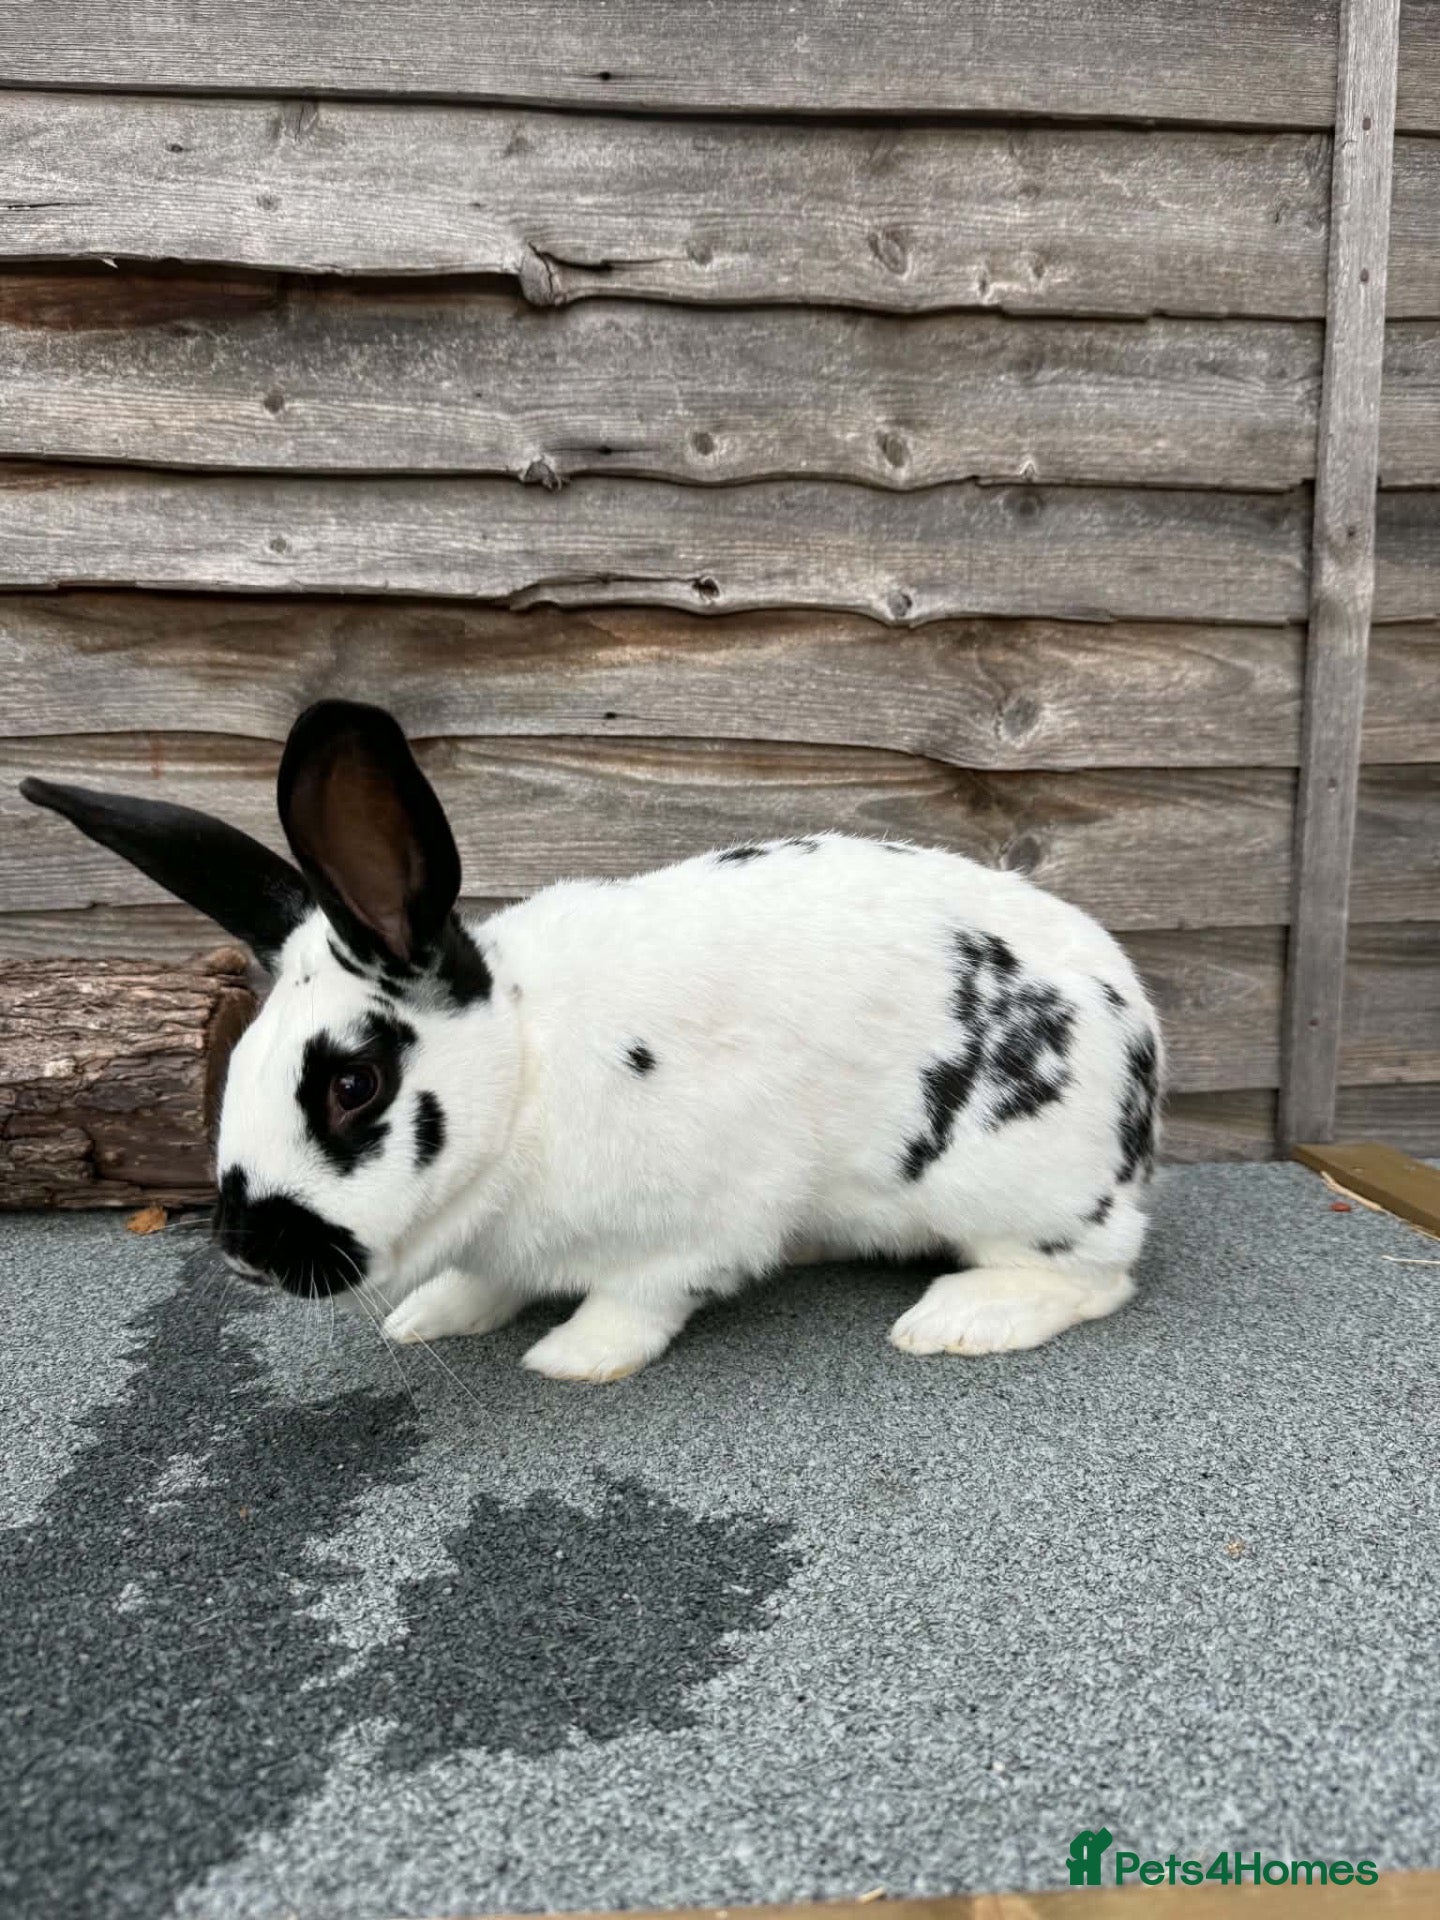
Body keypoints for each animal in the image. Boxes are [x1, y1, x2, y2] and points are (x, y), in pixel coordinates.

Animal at [22, 699, 1162, 1383]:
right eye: (244, 1061)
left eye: (354, 1084)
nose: (246, 1253)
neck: (525, 1075)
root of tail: (1141, 1050)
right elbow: (482, 1285)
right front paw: (428, 1317)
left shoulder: (704, 1220)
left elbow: (640, 1298)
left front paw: (570, 1357)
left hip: (1012, 1190)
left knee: (1101, 1278)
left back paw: (956, 1319)